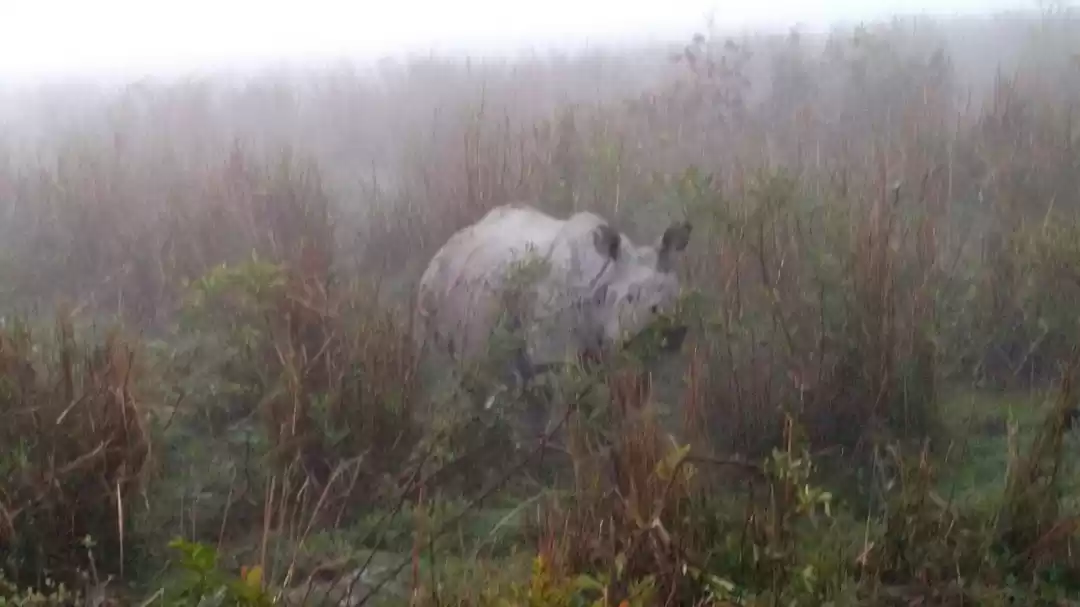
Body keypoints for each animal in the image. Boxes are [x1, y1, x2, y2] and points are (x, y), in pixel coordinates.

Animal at [413, 203, 692, 433]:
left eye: (676, 293)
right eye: (631, 298)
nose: (673, 331)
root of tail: (442, 250)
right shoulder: (553, 356)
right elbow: (564, 414)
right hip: (434, 294)